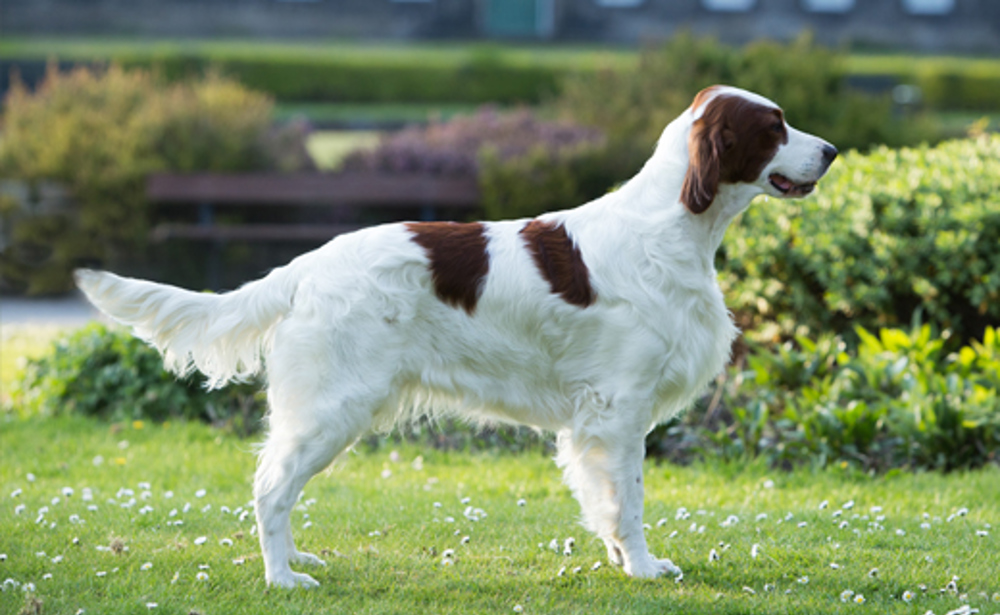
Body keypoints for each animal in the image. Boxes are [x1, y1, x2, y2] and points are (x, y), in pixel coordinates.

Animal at [76, 85, 836, 588]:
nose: (831, 149)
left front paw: (624, 563)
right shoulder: (618, 409)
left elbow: (603, 500)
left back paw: (295, 560)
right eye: (775, 125)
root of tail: (303, 269)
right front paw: (644, 567)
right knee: (271, 486)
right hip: (332, 406)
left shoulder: (596, 420)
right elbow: (629, 500)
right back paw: (283, 578)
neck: (670, 227)